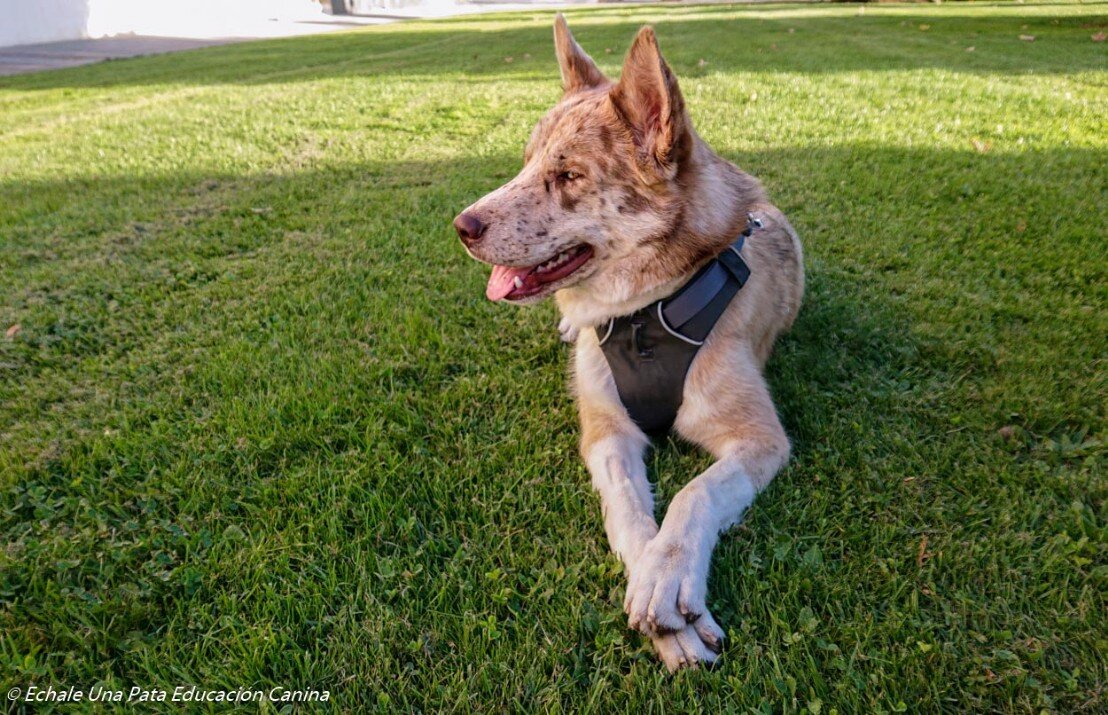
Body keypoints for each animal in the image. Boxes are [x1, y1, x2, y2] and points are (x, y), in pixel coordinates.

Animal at [453, 15, 803, 671]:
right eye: (525, 163)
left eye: (568, 176)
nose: (461, 227)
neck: (646, 316)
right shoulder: (606, 432)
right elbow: (628, 510)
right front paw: (660, 596)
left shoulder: (761, 438)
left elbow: (694, 493)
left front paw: (668, 578)